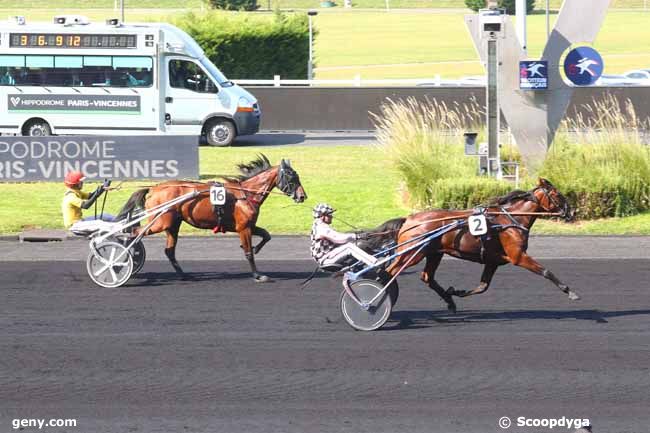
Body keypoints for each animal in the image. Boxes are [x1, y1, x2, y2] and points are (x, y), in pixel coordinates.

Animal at [117, 154, 306, 282]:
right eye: (292, 176)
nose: (302, 196)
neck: (245, 195)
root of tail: (154, 188)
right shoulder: (243, 228)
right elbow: (248, 253)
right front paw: (258, 275)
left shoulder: (249, 225)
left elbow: (266, 235)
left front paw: (257, 248)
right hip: (160, 222)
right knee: (134, 232)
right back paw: (122, 261)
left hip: (172, 224)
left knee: (169, 250)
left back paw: (184, 275)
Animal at [364, 177, 576, 312]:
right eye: (557, 194)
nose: (571, 212)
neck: (510, 219)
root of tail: (409, 219)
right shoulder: (518, 256)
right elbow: (546, 271)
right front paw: (570, 292)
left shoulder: (493, 261)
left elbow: (483, 286)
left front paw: (456, 292)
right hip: (412, 253)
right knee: (389, 272)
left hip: (434, 253)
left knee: (427, 277)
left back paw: (449, 301)